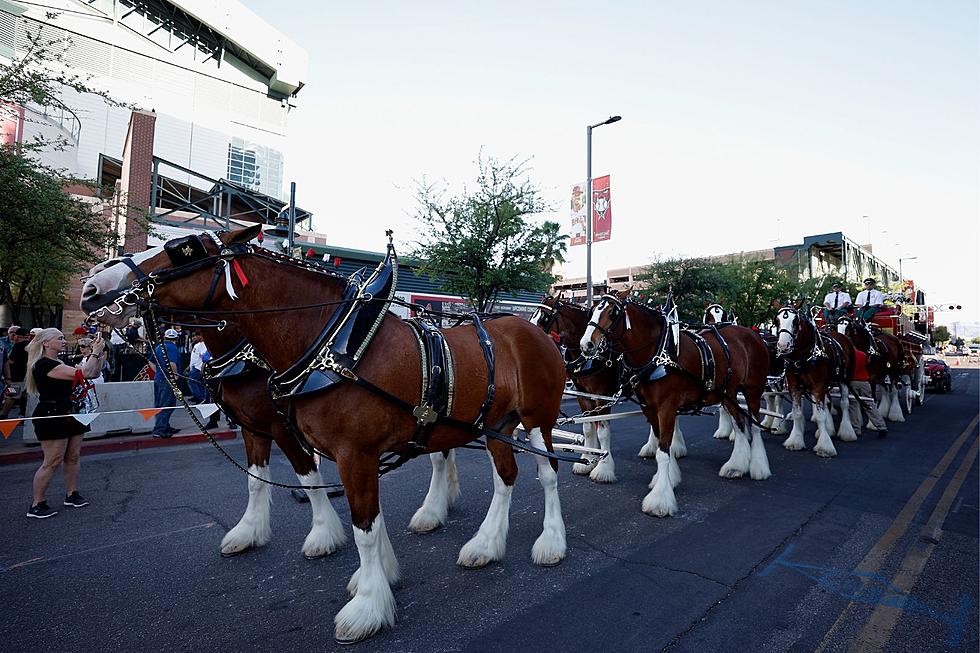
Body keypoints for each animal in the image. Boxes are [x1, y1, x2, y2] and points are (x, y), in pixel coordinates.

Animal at [81, 225, 572, 640]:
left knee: (547, 474)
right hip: (494, 424)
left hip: (537, 421)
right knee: (503, 477)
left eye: (183, 248)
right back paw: (484, 544)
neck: (332, 345)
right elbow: (278, 486)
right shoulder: (295, 438)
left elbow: (360, 524)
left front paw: (367, 604)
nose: (91, 289)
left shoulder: (348, 450)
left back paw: (550, 542)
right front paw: (375, 574)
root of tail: (533, 329)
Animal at [580, 292, 772, 516]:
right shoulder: (650, 409)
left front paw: (660, 500)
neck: (660, 352)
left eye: (612, 313)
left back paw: (758, 467)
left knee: (755, 425)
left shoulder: (666, 408)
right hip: (728, 393)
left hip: (753, 390)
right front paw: (668, 479)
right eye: (592, 311)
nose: (586, 344)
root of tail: (754, 335)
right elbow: (662, 445)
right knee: (740, 424)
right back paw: (736, 466)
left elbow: (663, 451)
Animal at [772, 304, 856, 454]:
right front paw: (795, 440)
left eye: (795, 321)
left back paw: (847, 432)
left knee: (844, 403)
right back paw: (830, 428)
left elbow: (821, 415)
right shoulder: (794, 386)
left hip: (844, 380)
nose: (783, 345)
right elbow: (797, 413)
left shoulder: (818, 386)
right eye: (776, 320)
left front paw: (824, 446)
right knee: (827, 403)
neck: (803, 357)